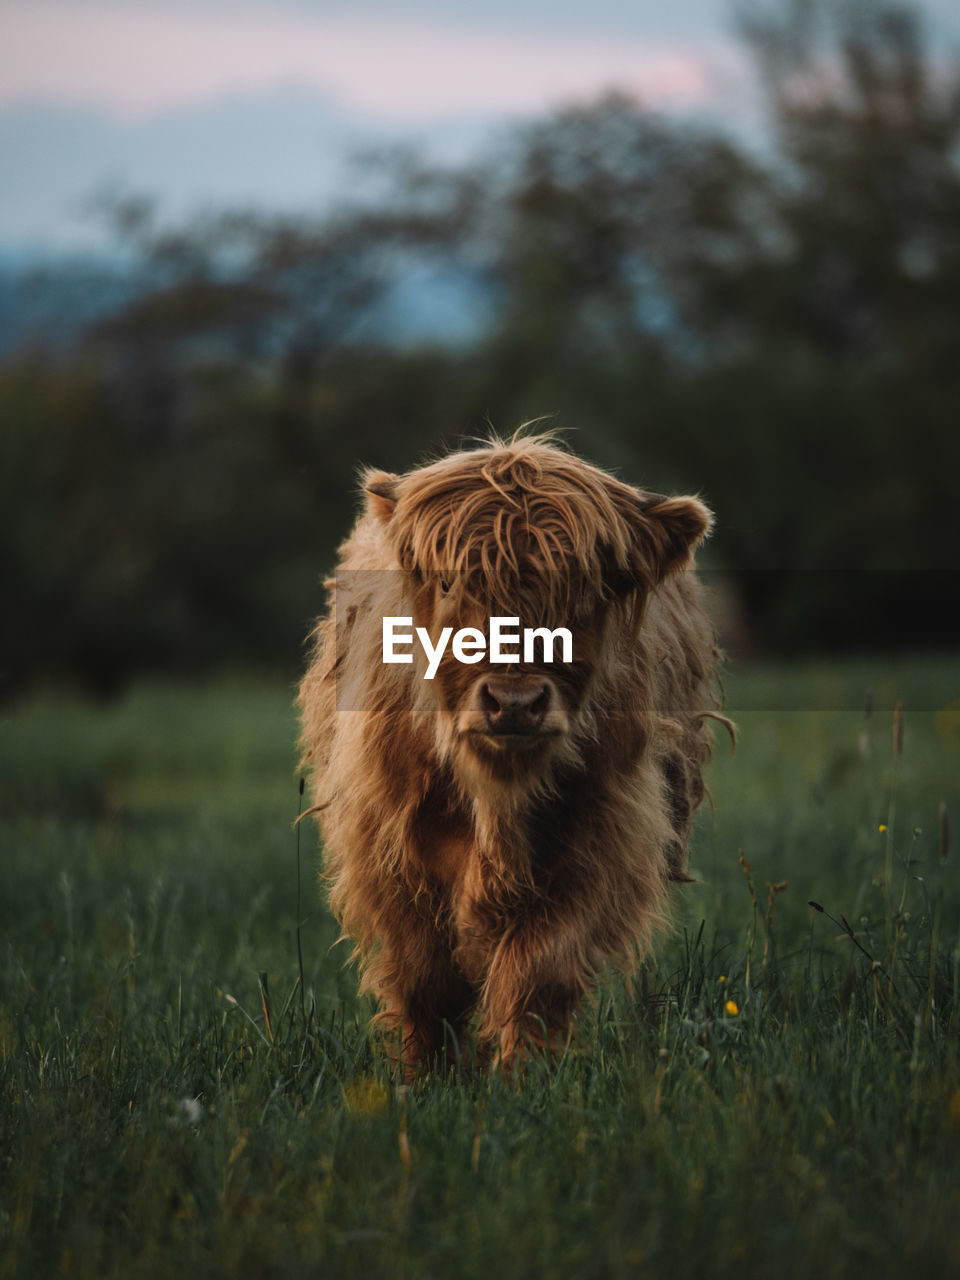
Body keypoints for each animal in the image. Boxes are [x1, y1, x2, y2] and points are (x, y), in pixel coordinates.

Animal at [296, 435, 727, 1075]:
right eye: (448, 585)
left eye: (585, 592)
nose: (515, 702)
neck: (496, 796)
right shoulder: (387, 850)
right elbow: (426, 980)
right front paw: (421, 1077)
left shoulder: (598, 842)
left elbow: (537, 972)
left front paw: (526, 1076)